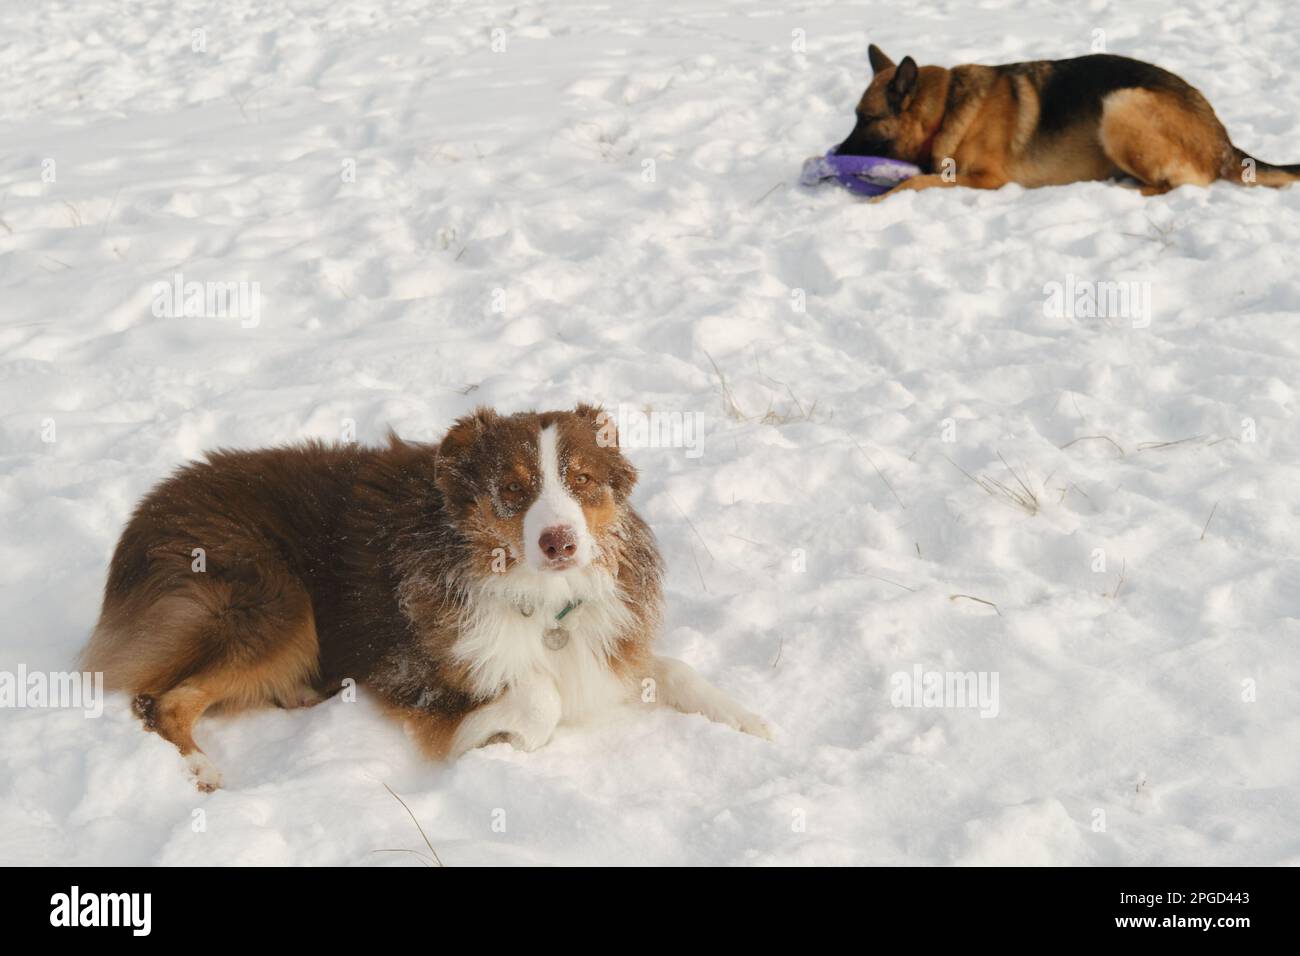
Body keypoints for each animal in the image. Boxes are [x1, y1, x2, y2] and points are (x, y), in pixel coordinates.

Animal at [78, 408, 769, 790]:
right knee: (162, 701)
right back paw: (201, 769)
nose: (560, 542)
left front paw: (749, 720)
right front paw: (486, 738)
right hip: (276, 602)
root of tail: (145, 515)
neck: (540, 596)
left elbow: (672, 669)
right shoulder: (416, 675)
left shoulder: (606, 645)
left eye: (581, 480)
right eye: (511, 489)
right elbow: (538, 699)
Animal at [837, 48, 1294, 200]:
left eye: (867, 119)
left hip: (1120, 104)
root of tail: (1223, 140)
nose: (836, 154)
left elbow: (914, 181)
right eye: (855, 117)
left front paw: (879, 200)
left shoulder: (987, 180)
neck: (945, 107)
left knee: (1179, 184)